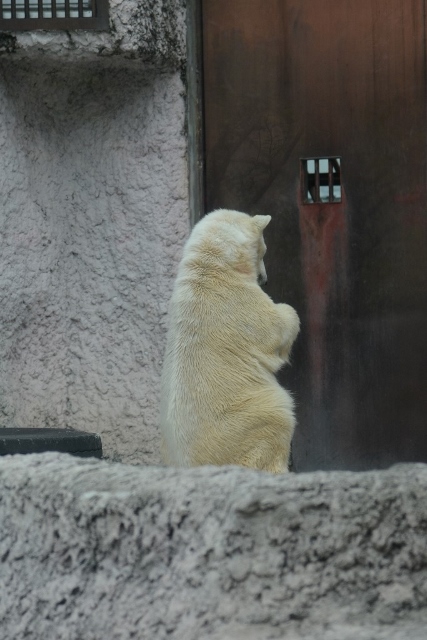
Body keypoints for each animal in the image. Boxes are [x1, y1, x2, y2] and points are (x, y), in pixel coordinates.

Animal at [160, 211, 300, 476]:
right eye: (264, 250)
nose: (265, 279)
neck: (212, 267)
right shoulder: (239, 302)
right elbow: (276, 328)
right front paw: (288, 312)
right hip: (245, 418)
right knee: (278, 415)